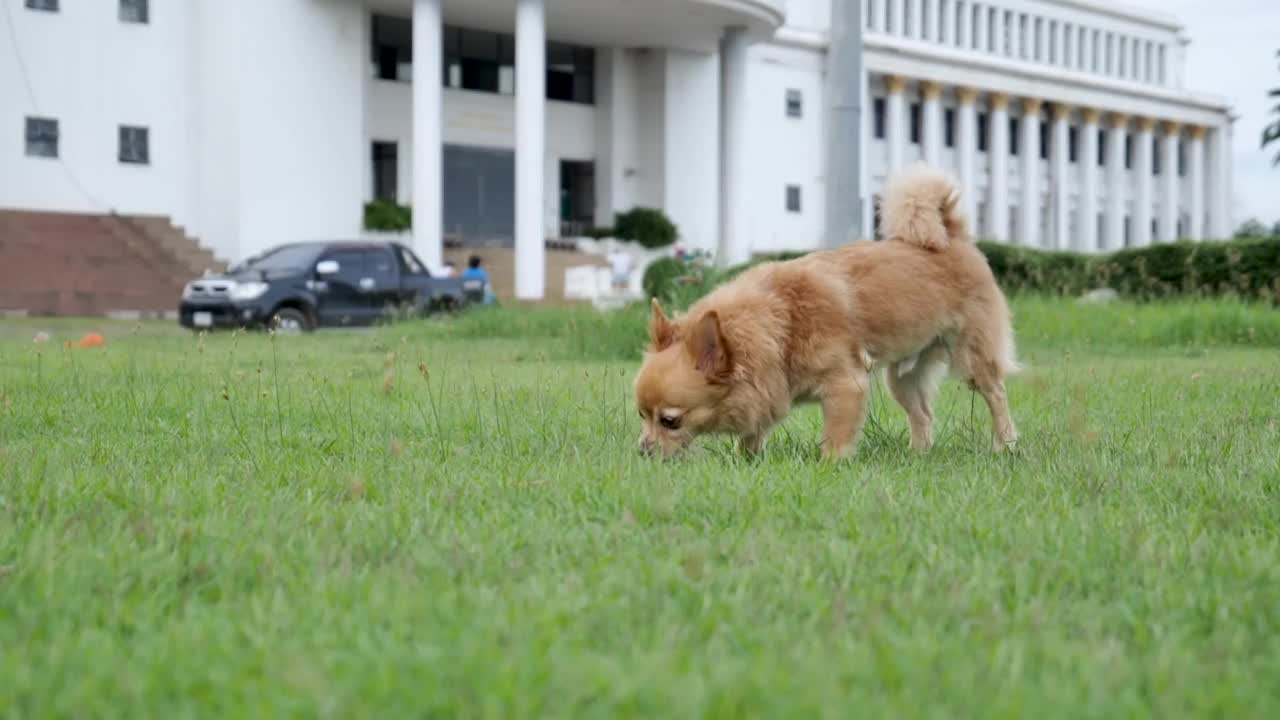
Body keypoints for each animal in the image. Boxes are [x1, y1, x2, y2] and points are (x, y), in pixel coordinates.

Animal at [632, 163, 1018, 456]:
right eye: (642, 416)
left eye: (670, 421)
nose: (643, 450)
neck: (782, 321)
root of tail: (951, 234)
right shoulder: (768, 389)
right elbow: (752, 435)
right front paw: (747, 462)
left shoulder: (846, 386)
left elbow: (835, 439)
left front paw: (831, 466)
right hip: (903, 378)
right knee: (922, 414)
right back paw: (919, 455)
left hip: (972, 359)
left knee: (997, 394)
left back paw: (1005, 444)